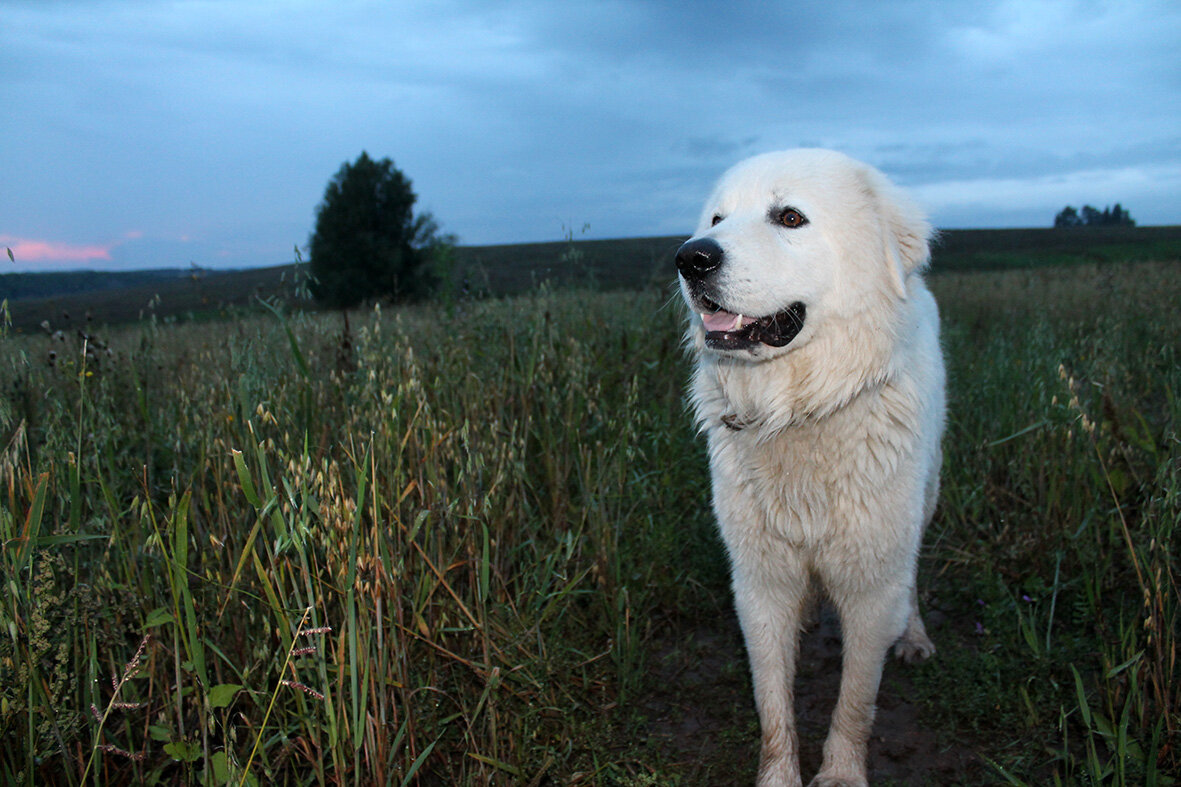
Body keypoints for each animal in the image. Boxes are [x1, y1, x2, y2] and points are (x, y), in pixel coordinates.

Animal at [680, 148, 944, 784]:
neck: (801, 411)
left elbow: (855, 701)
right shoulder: (759, 580)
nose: (691, 257)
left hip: (923, 502)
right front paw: (779, 776)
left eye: (790, 218)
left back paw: (915, 635)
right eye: (718, 219)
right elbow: (773, 704)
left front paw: (841, 773)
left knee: (913, 577)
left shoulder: (871, 584)